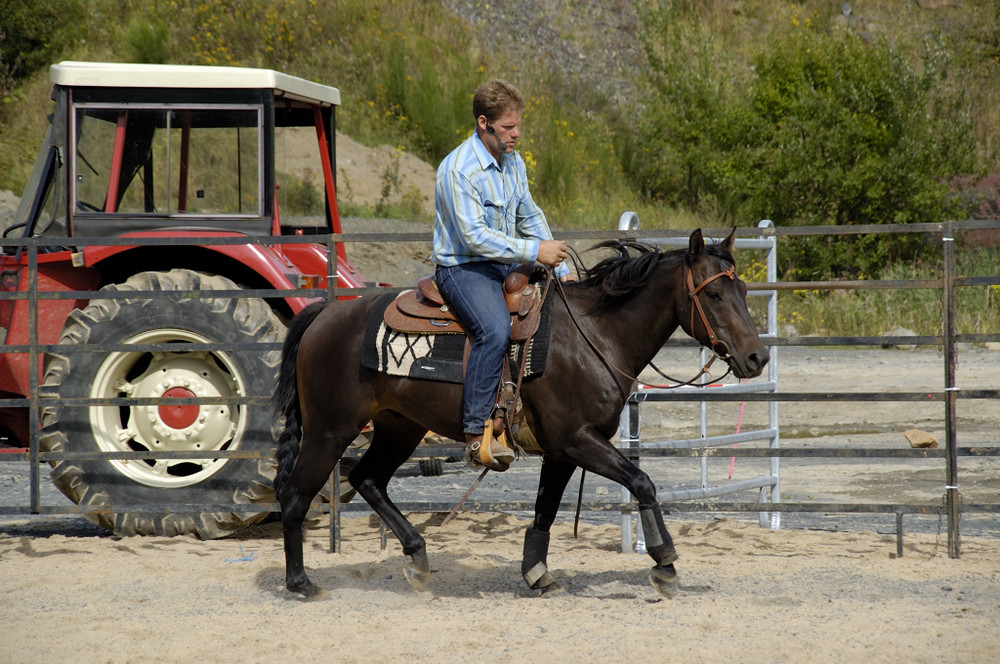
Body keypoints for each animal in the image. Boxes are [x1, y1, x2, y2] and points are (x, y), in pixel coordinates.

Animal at [272, 227, 764, 596]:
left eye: (741, 288)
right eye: (715, 295)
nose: (757, 358)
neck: (595, 335)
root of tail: (323, 314)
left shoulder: (562, 450)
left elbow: (545, 510)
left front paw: (536, 572)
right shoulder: (577, 439)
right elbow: (642, 481)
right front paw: (664, 563)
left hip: (399, 428)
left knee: (367, 480)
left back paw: (418, 558)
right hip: (329, 430)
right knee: (296, 495)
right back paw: (300, 583)